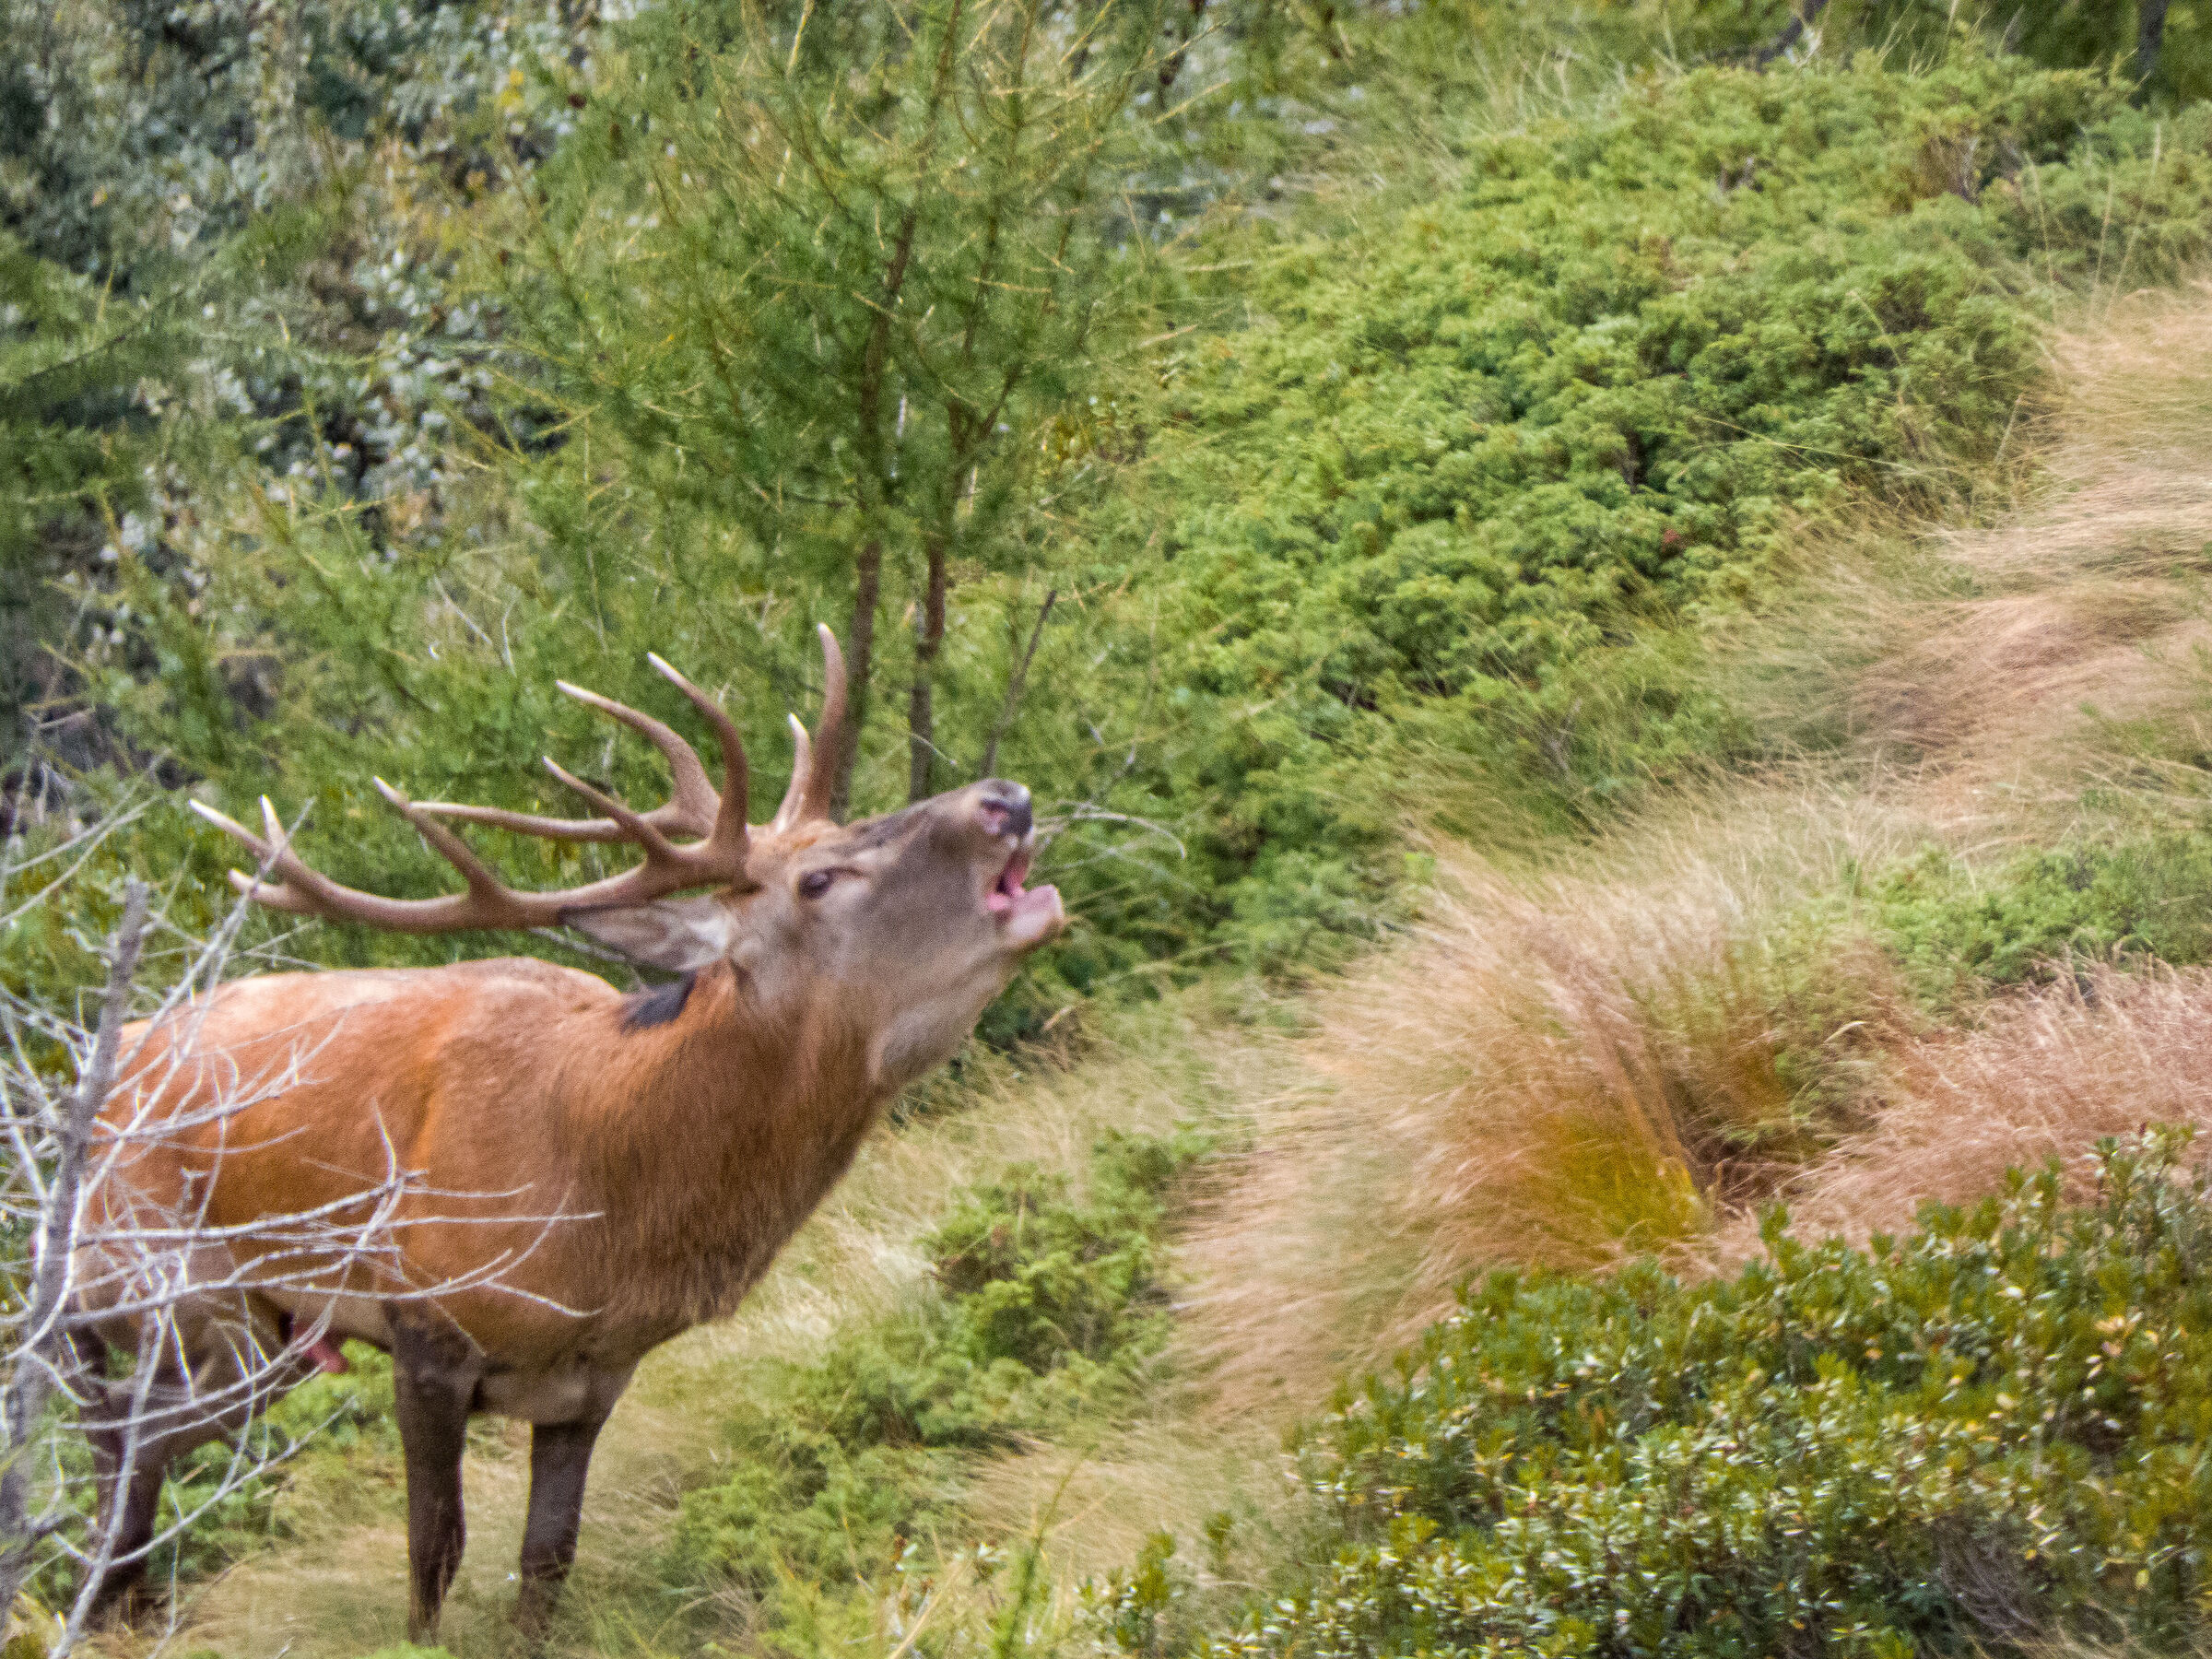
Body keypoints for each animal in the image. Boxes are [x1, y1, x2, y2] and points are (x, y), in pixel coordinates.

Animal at [74, 627, 1066, 1641]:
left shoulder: (595, 1381)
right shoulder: (427, 1322)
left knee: (130, 1439)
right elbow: (433, 1555)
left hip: (264, 1337)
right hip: (180, 1293)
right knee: (124, 1435)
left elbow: (548, 1561)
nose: (1005, 798)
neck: (601, 1217)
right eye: (819, 879)